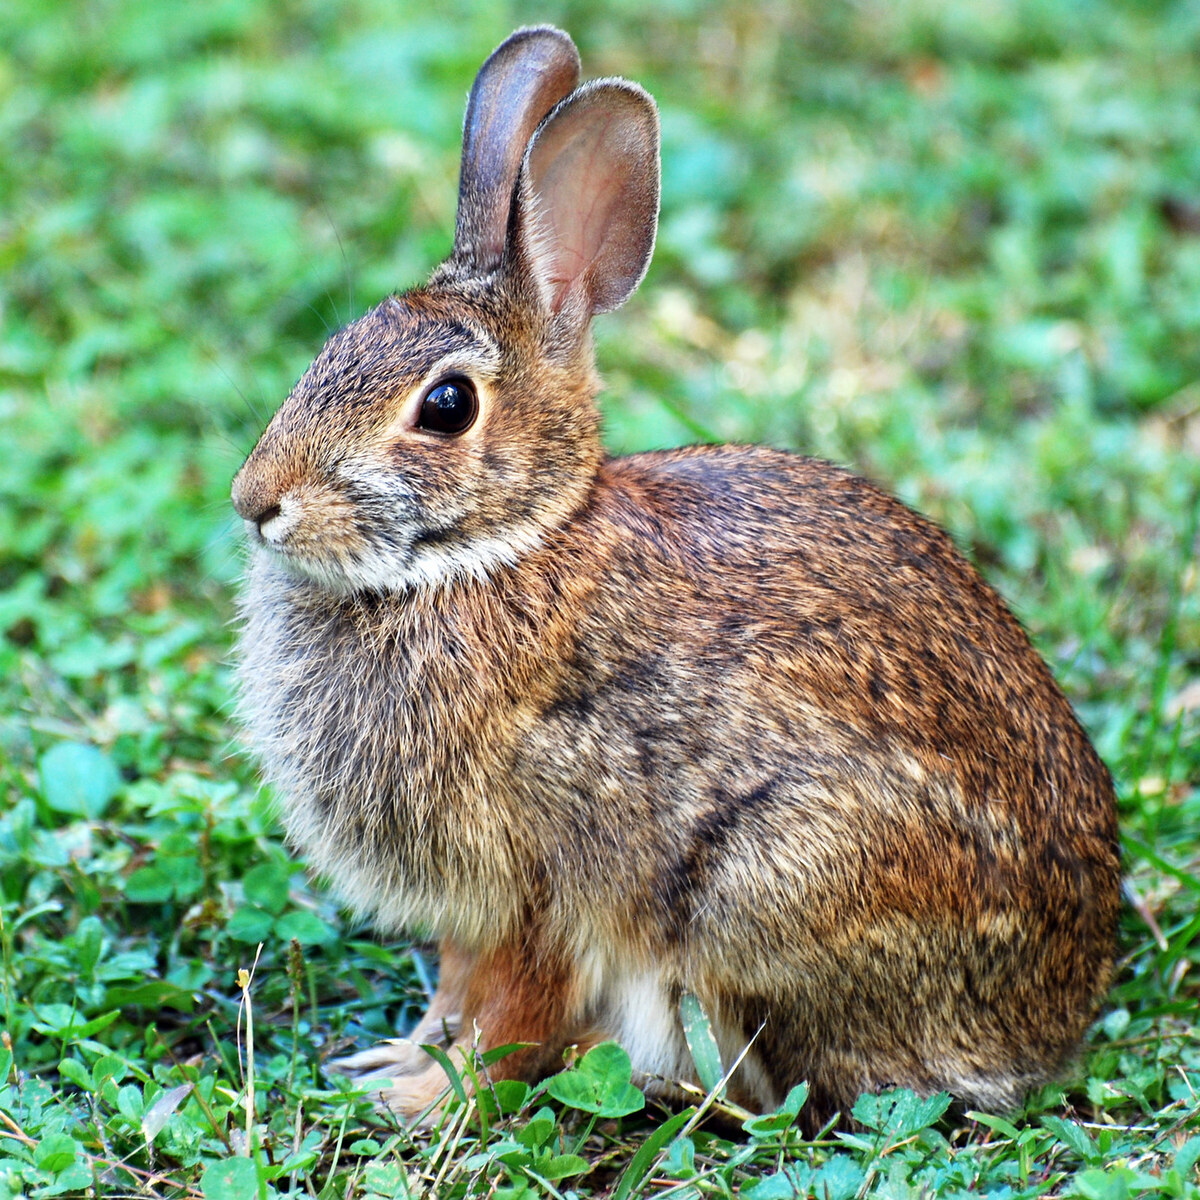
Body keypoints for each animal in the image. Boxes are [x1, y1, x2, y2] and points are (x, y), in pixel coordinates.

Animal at [231, 25, 1120, 1131]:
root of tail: (1061, 1013)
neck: (501, 547)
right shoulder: (475, 911)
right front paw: (399, 1060)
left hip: (766, 887)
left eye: (445, 406)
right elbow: (455, 993)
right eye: (331, 349)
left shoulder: (540, 884)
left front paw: (424, 1098)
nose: (255, 501)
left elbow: (507, 1015)